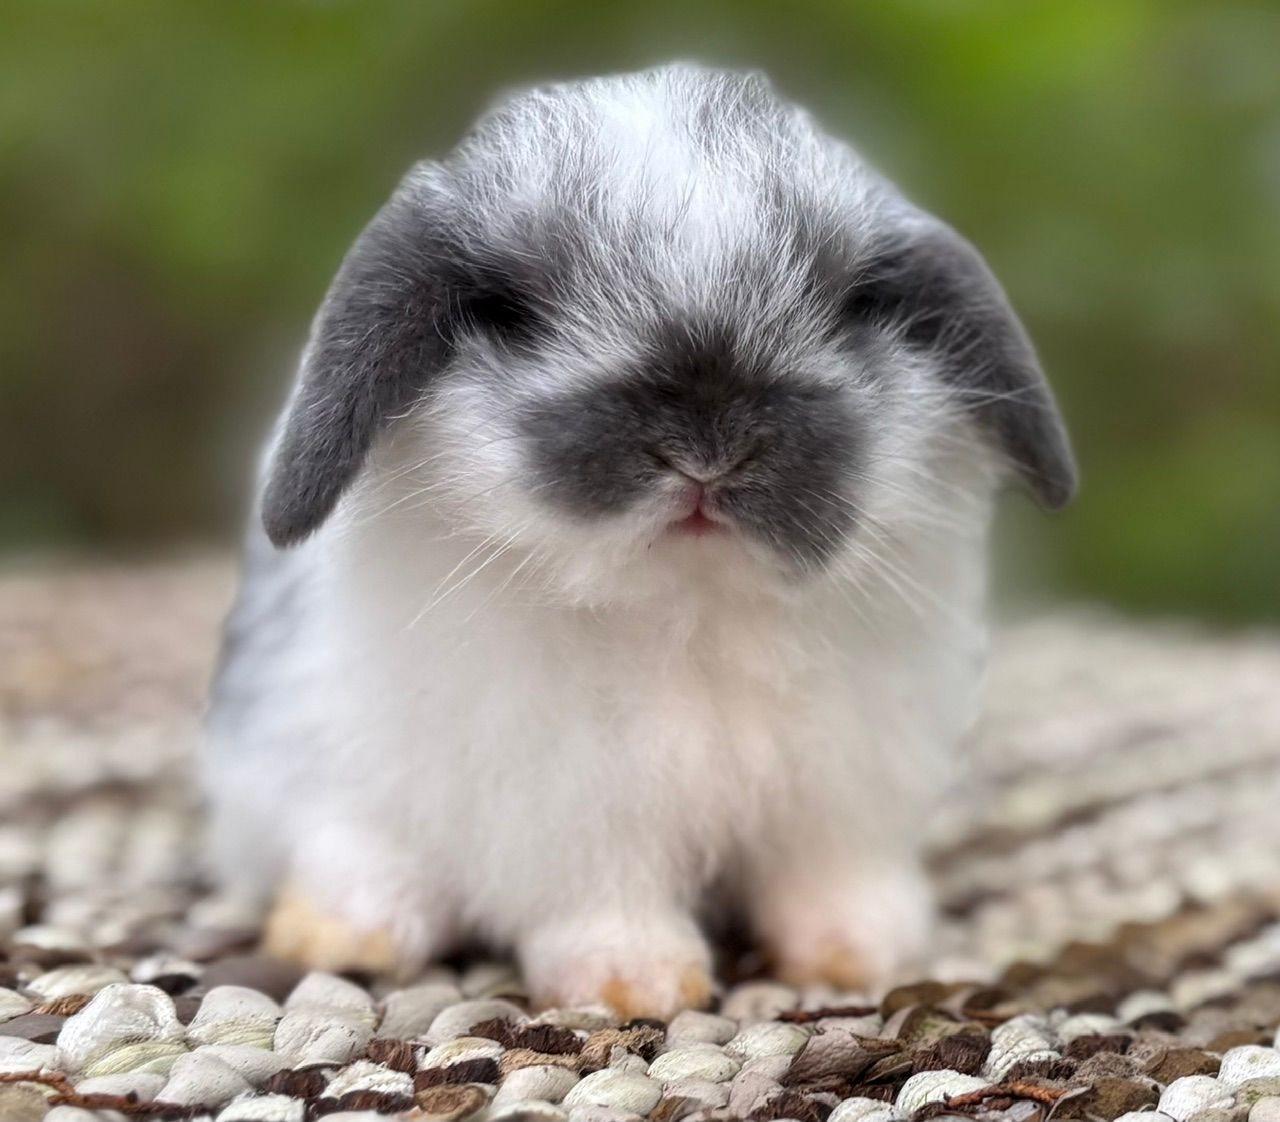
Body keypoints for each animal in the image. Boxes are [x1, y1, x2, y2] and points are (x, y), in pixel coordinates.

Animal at [202, 63, 1075, 1018]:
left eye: (857, 304)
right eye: (508, 313)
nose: (707, 448)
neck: (690, 605)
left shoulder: (841, 793)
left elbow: (830, 876)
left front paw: (855, 954)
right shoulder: (566, 804)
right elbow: (601, 894)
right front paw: (636, 982)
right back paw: (343, 933)